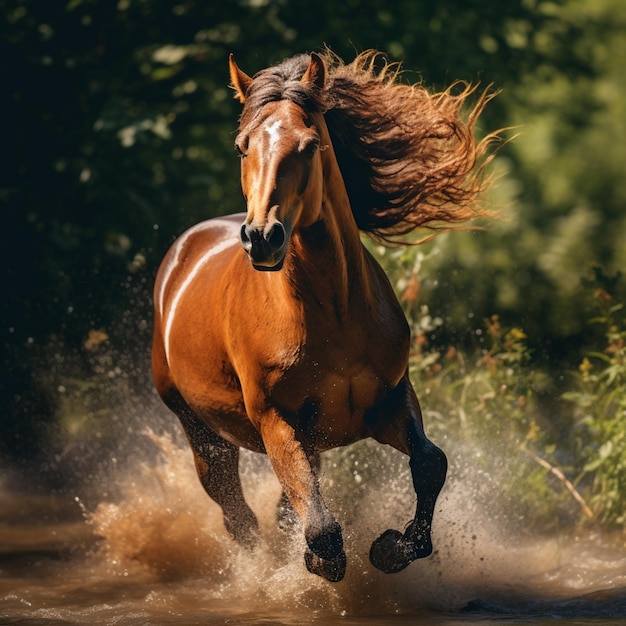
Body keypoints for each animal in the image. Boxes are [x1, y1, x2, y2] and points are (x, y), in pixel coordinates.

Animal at [151, 48, 492, 580]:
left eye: (309, 145)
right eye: (242, 147)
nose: (262, 237)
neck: (334, 315)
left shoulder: (389, 401)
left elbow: (430, 464)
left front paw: (391, 548)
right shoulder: (276, 423)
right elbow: (322, 529)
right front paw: (319, 561)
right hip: (201, 430)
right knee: (238, 516)